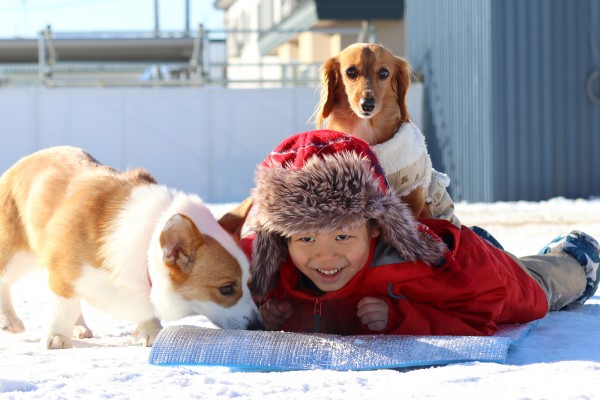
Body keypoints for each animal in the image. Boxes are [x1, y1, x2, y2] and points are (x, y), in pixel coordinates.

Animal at [0, 145, 262, 348]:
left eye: (250, 284)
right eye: (226, 289)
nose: (259, 325)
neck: (146, 246)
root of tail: (23, 161)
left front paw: (151, 332)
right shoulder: (64, 271)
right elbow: (64, 306)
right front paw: (57, 337)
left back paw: (80, 327)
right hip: (16, 253)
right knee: (5, 280)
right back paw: (10, 320)